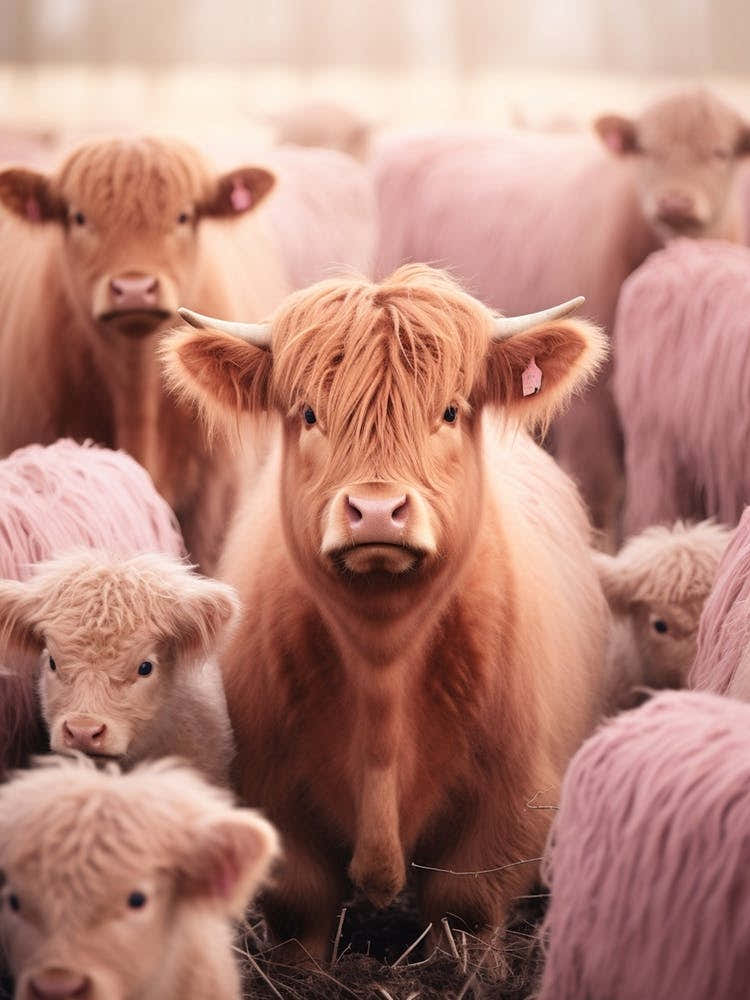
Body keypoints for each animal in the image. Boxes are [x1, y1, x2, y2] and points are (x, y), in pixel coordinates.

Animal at [162, 264, 609, 961]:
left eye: (449, 410)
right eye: (309, 412)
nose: (376, 511)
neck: (382, 667)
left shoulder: (512, 804)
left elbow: (462, 909)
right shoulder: (268, 789)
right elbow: (300, 906)